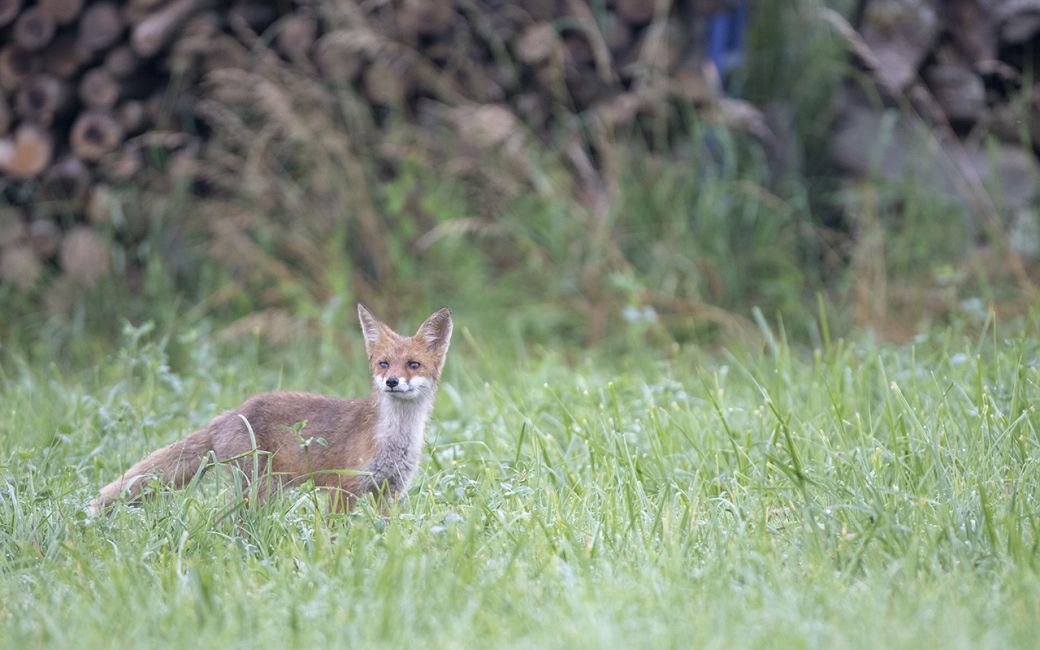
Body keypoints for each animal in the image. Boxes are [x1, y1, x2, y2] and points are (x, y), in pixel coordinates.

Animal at [86, 303, 451, 511]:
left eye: (414, 365)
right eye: (383, 363)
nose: (391, 382)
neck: (394, 439)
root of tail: (229, 414)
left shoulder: (389, 492)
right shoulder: (343, 488)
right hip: (259, 490)